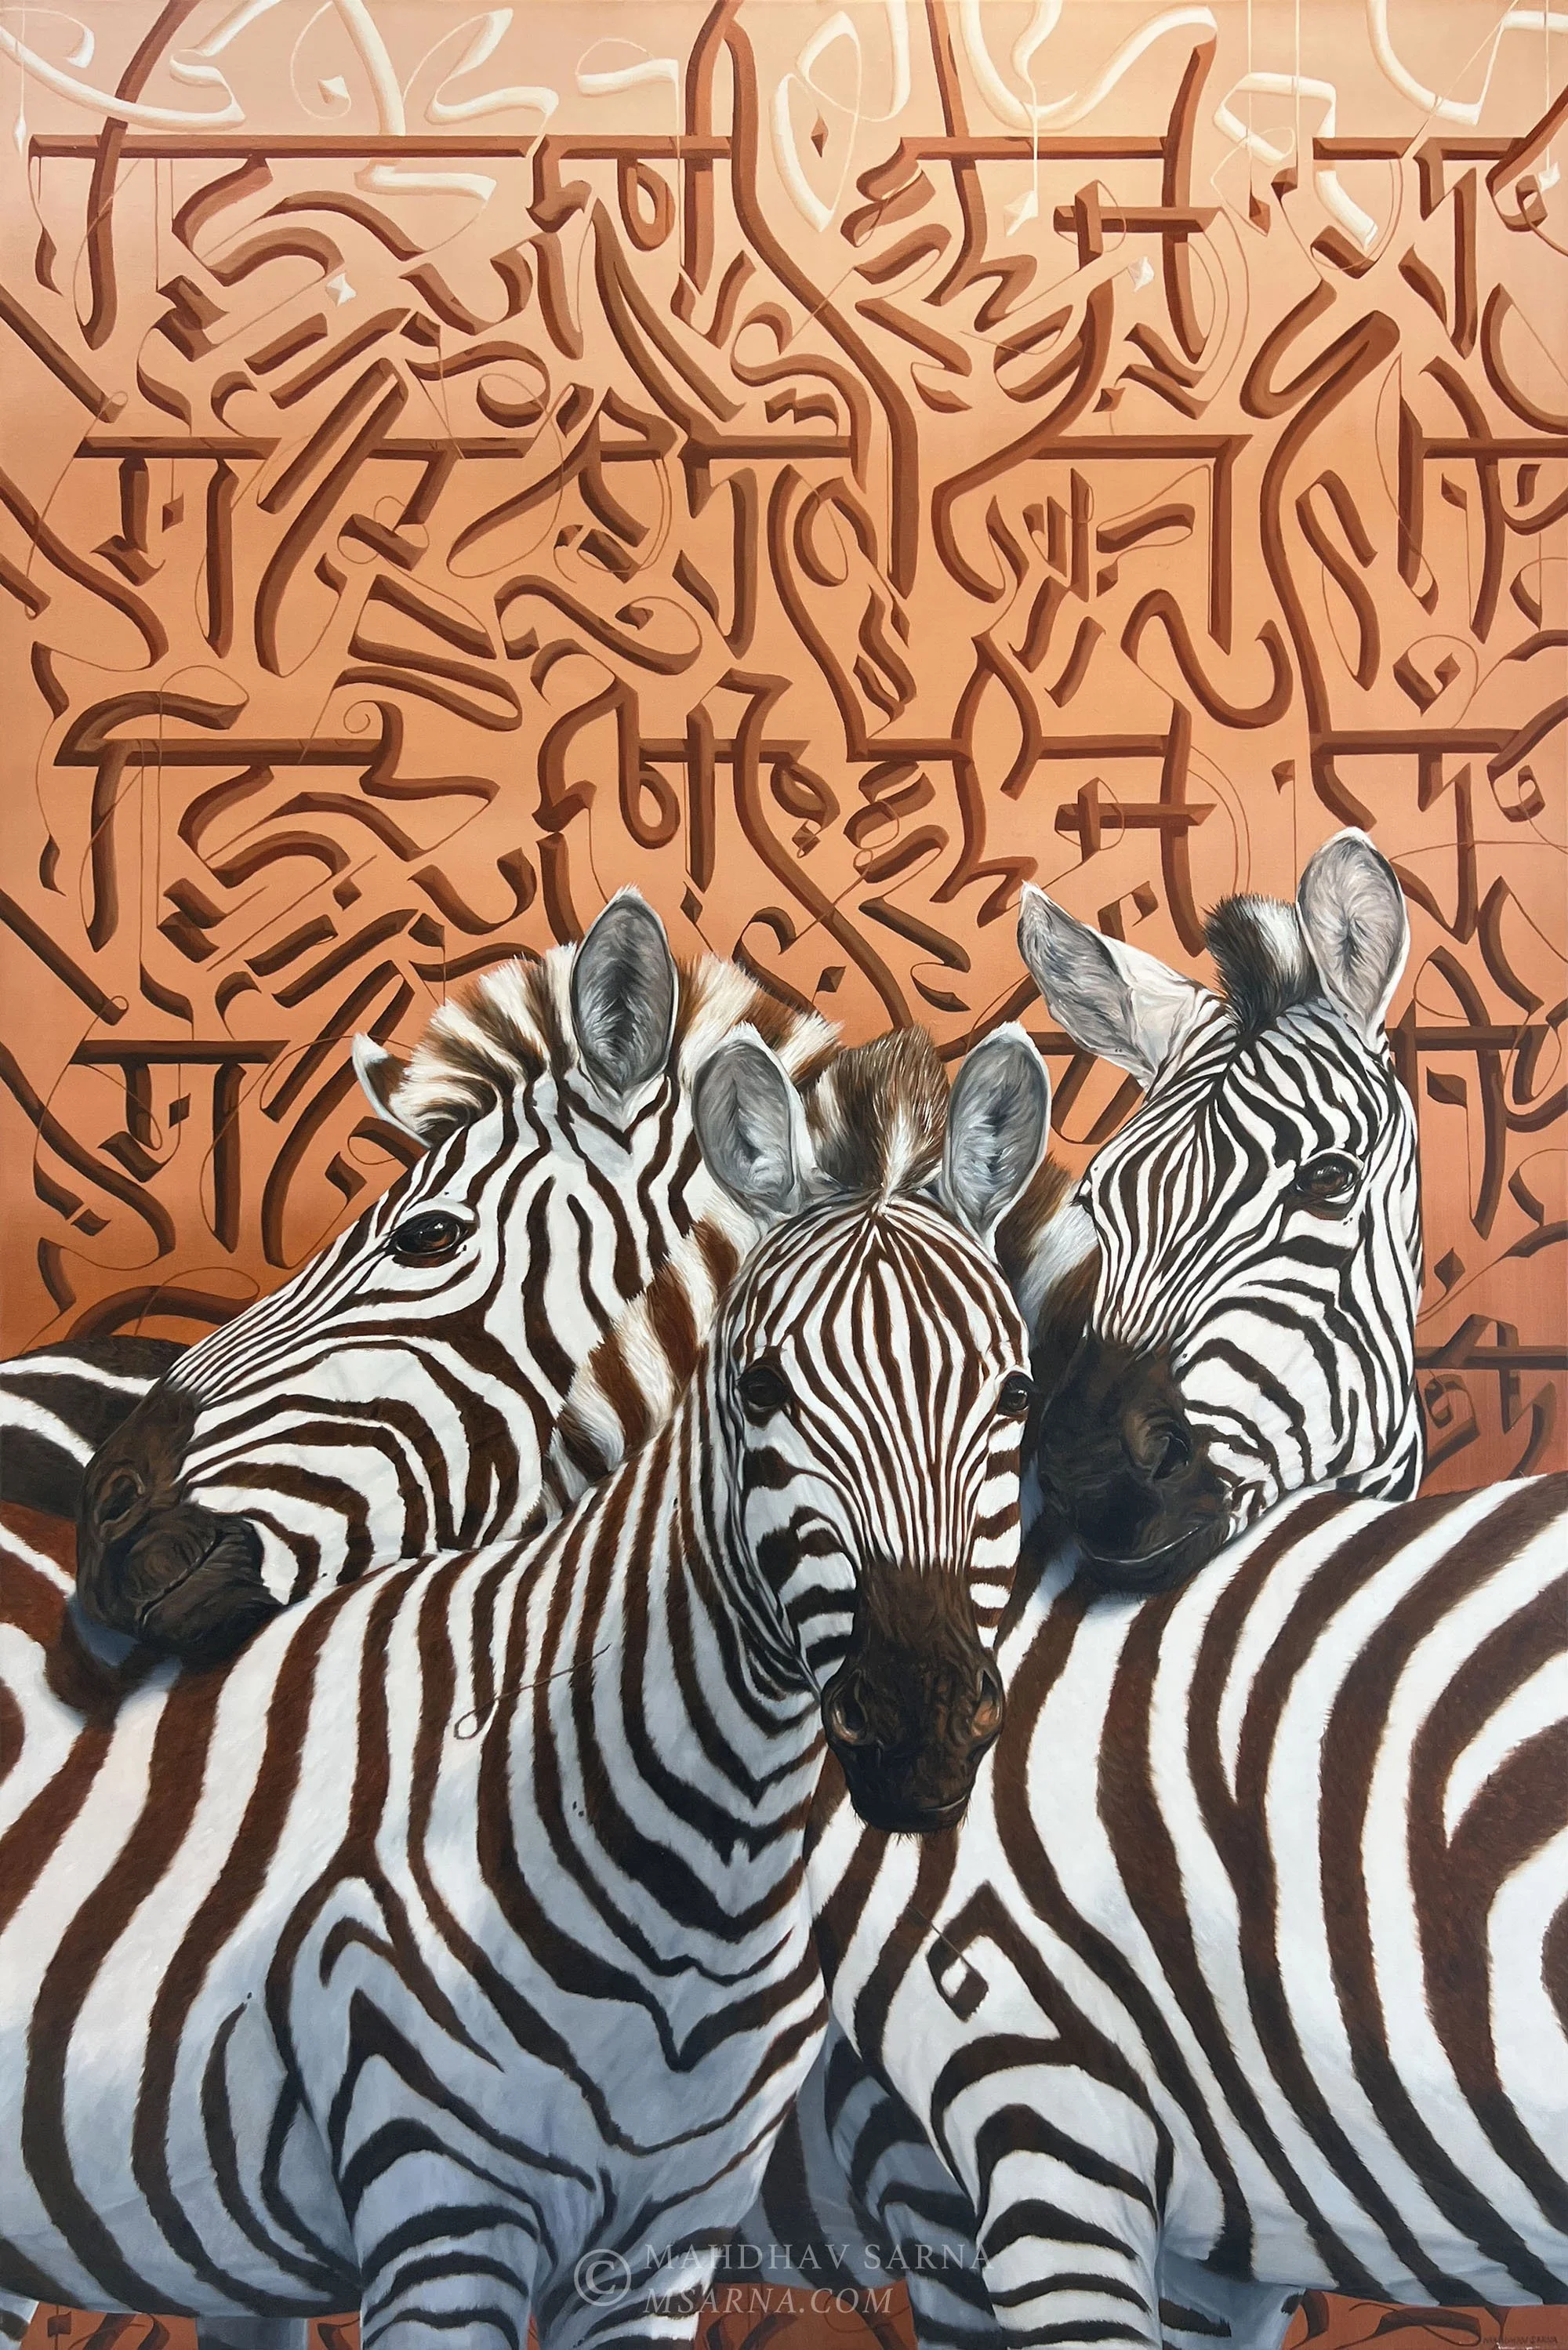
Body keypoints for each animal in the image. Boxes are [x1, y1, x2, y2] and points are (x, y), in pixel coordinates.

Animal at [0, 1017, 1051, 2350]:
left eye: (1017, 1395)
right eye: (760, 1391)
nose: (923, 1724)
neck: (701, 1864)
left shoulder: (673, 2245)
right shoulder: (442, 2220)